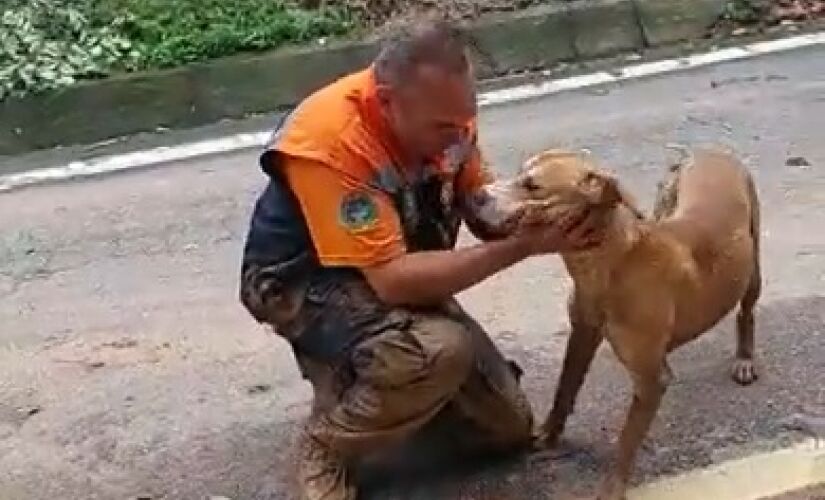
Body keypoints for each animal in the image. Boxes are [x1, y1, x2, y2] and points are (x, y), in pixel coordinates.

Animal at [490, 147, 760, 500]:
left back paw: (745, 357)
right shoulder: (582, 333)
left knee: (746, 311)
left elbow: (627, 439)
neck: (612, 260)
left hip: (753, 266)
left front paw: (613, 485)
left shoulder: (650, 379)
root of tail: (711, 151)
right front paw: (549, 434)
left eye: (532, 186)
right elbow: (565, 387)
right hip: (665, 202)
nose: (478, 197)